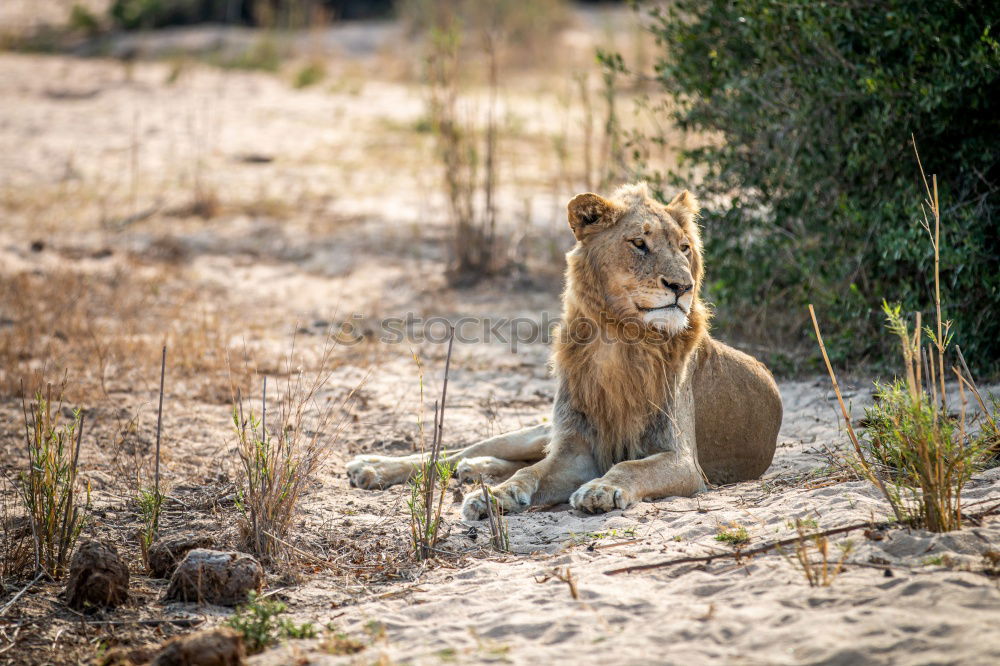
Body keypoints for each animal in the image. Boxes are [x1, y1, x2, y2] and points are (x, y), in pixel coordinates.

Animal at [348, 182, 784, 520]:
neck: (620, 337)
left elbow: (629, 467)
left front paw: (599, 491)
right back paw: (375, 468)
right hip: (538, 430)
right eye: (639, 244)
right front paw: (495, 497)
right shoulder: (574, 448)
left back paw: (475, 469)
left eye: (685, 248)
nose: (682, 287)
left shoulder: (685, 463)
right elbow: (531, 473)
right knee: (457, 453)